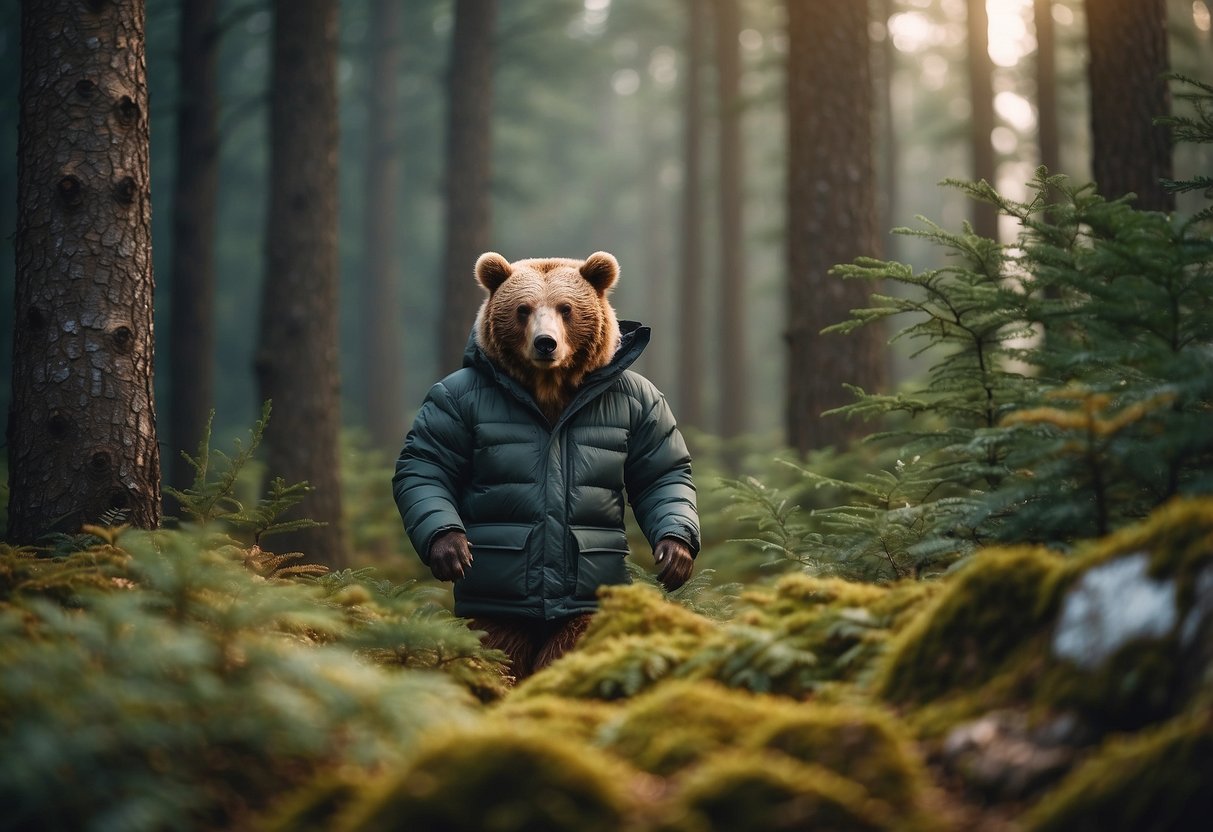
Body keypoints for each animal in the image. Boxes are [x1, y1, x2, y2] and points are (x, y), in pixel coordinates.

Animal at [393, 254, 703, 684]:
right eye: (523, 309)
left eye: (566, 308)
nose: (545, 342)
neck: (549, 386)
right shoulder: (455, 397)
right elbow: (429, 461)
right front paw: (448, 547)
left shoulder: (639, 399)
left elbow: (659, 470)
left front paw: (675, 554)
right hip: (497, 595)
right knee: (501, 639)